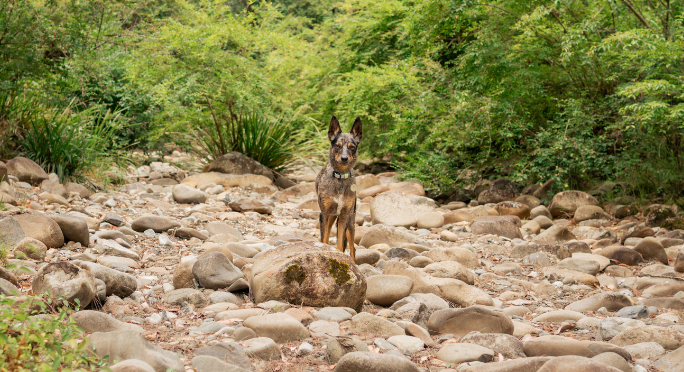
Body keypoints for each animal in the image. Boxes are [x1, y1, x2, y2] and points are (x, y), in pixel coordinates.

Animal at [316, 116, 364, 262]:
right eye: (337, 146)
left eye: (352, 147)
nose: (344, 158)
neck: (340, 177)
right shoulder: (324, 214)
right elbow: (324, 239)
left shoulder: (344, 216)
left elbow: (340, 245)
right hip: (331, 217)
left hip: (351, 221)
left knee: (352, 248)